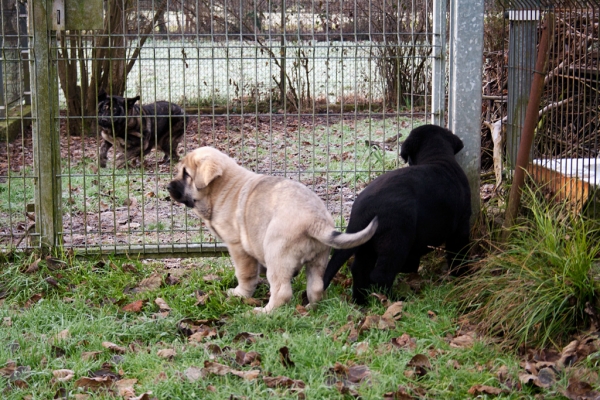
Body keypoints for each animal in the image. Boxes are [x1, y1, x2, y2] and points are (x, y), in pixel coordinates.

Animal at [322, 124, 472, 304]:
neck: (438, 156)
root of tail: (364, 208)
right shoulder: (462, 225)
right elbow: (458, 252)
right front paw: (462, 275)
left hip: (367, 244)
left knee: (359, 269)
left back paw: (361, 301)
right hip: (396, 239)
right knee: (380, 274)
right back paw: (396, 300)